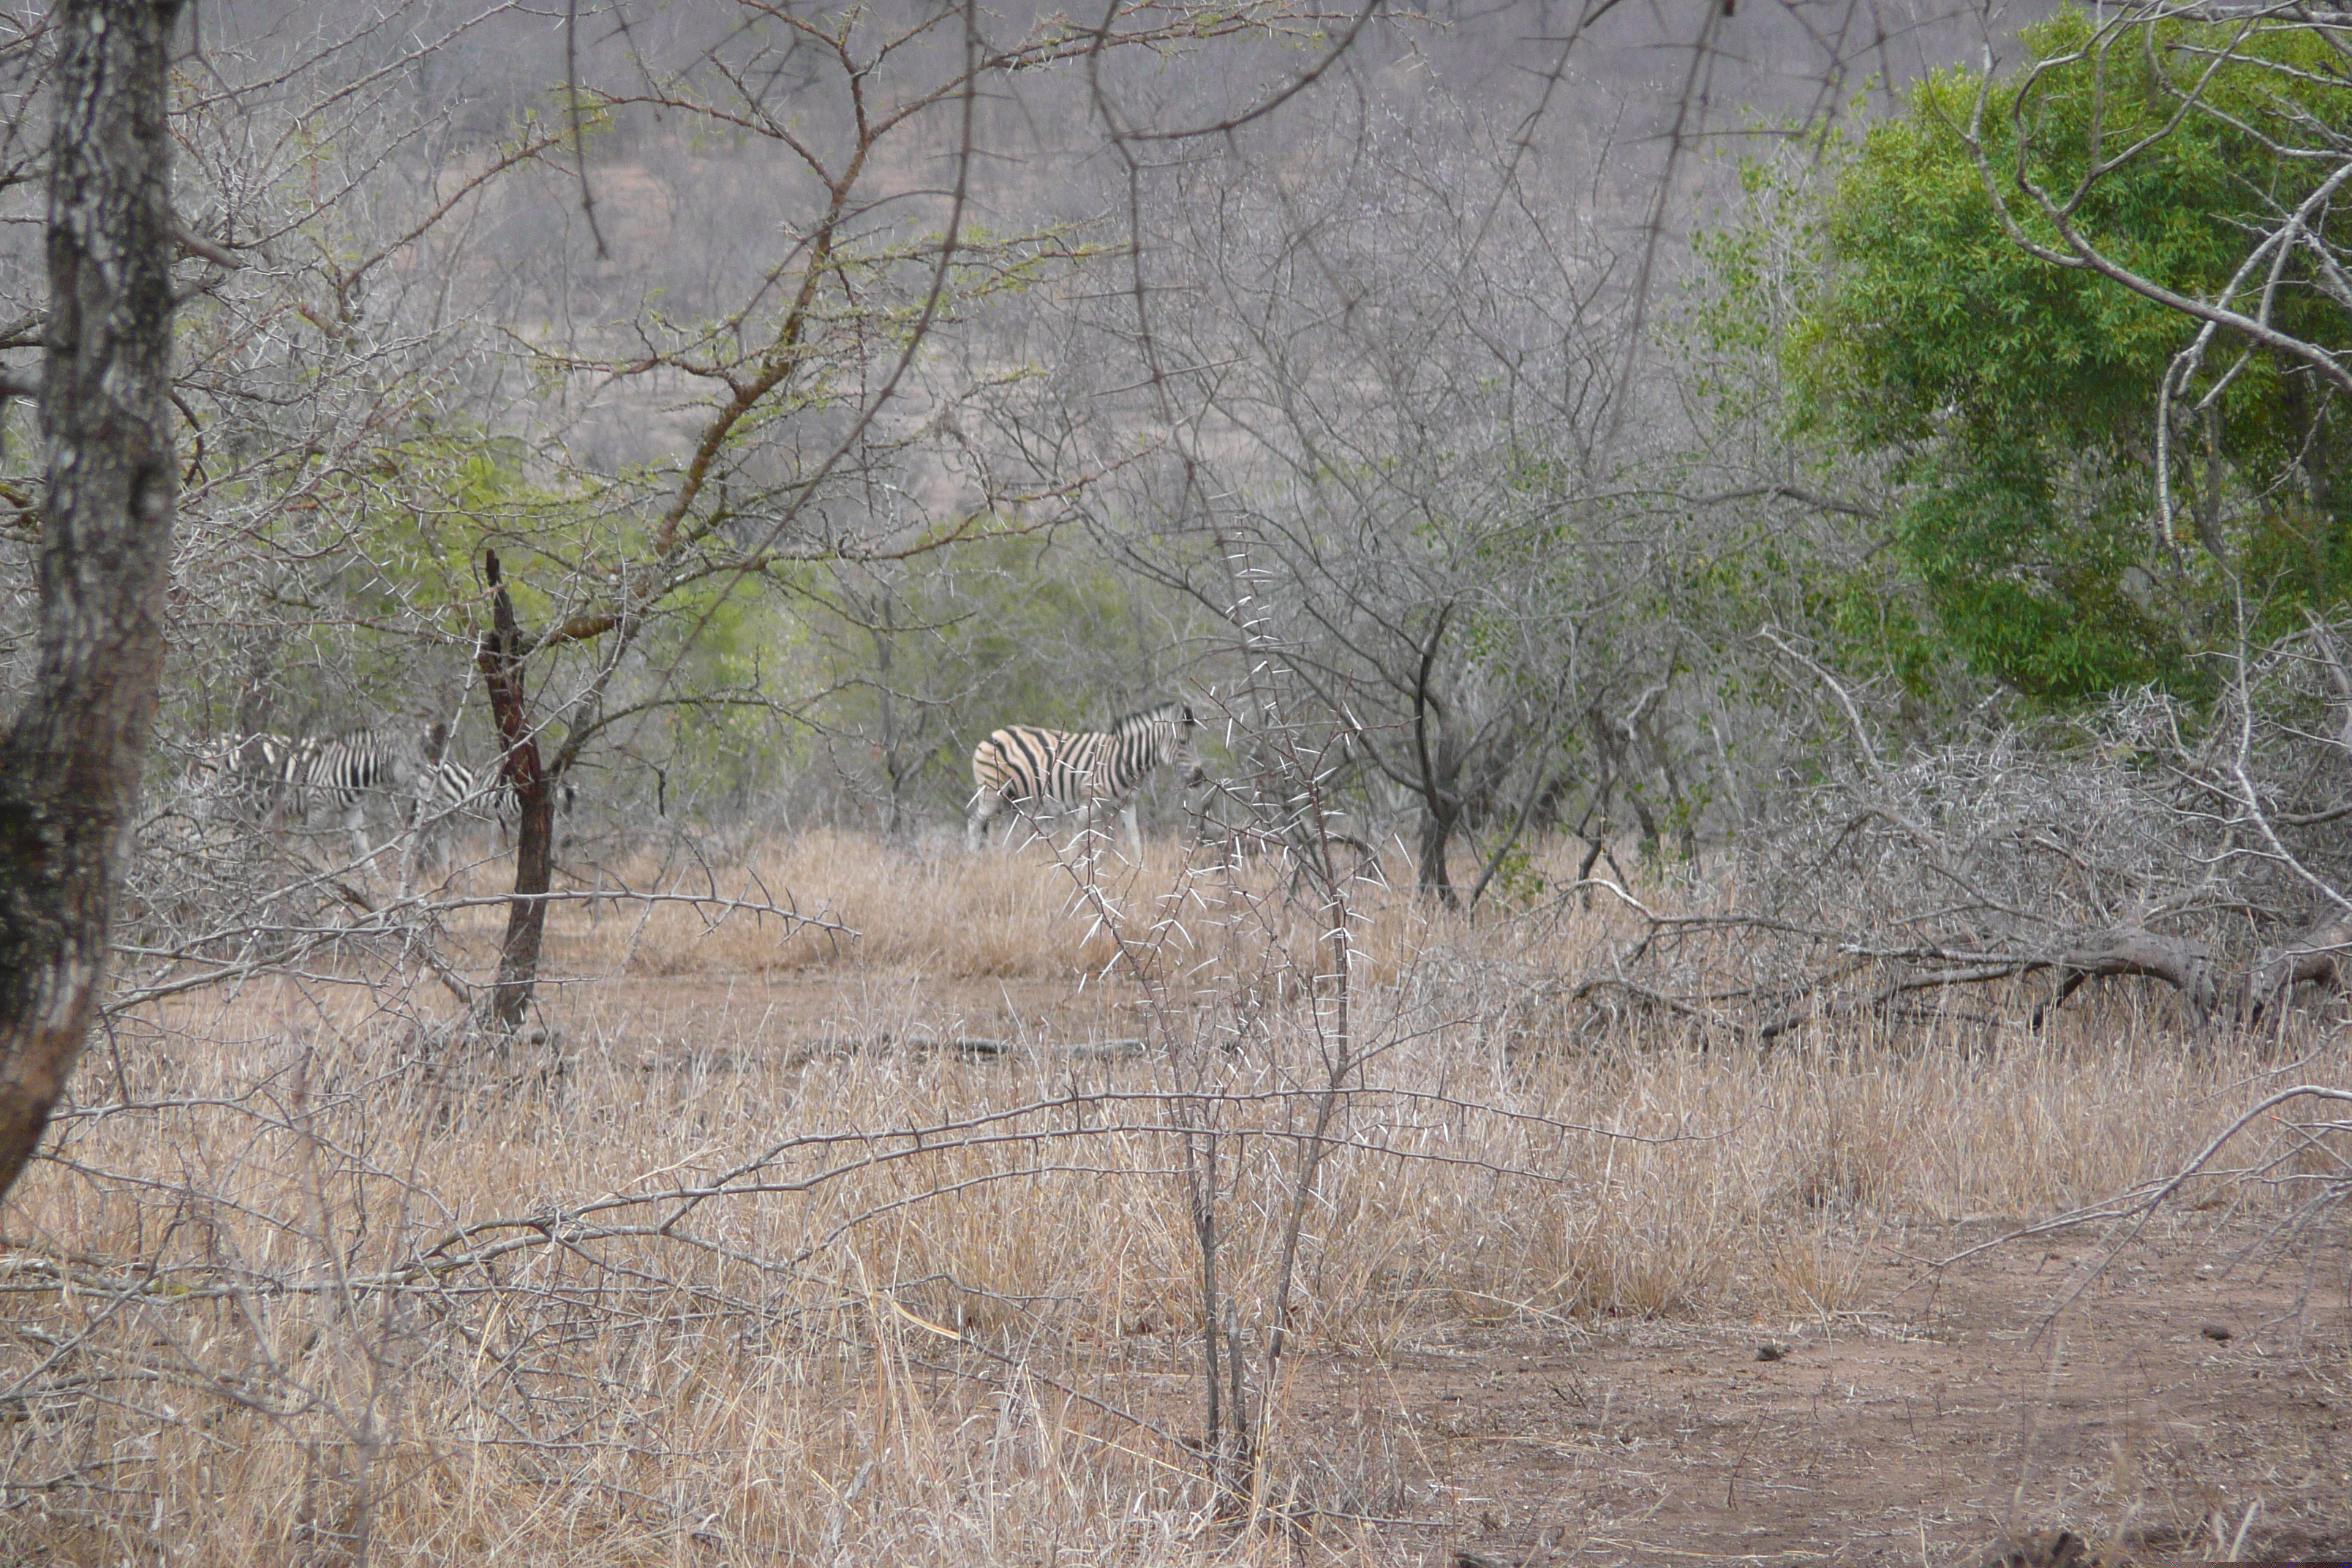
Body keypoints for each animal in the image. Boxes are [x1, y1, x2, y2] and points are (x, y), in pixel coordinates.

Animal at [964, 700, 1204, 860]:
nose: (1200, 776)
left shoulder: (1128, 803)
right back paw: (973, 860)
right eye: (1182, 743)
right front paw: (1073, 871)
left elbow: (1135, 840)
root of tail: (992, 735)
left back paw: (1006, 860)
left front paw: (1139, 870)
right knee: (974, 823)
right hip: (991, 793)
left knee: (1004, 834)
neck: (1124, 758)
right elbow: (1079, 839)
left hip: (1013, 800)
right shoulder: (1090, 802)